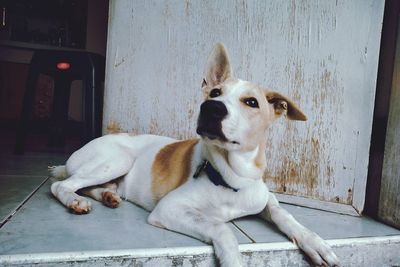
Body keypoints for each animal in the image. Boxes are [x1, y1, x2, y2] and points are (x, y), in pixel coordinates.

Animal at [48, 43, 340, 266]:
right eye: (215, 92)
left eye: (251, 102)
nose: (211, 107)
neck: (232, 179)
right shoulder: (170, 208)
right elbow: (222, 227)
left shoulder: (264, 198)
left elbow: (283, 214)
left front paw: (314, 241)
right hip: (118, 159)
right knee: (60, 185)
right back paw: (74, 201)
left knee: (87, 186)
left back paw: (106, 196)